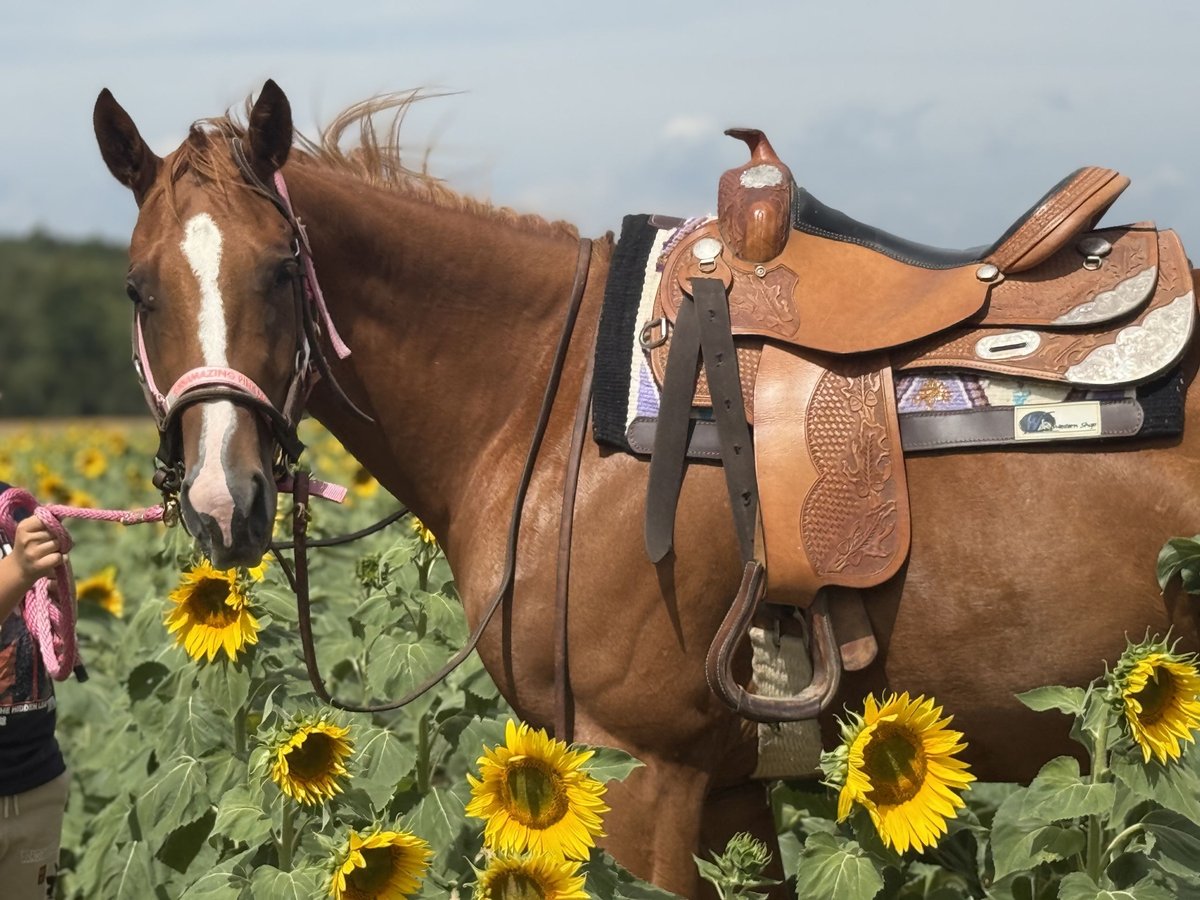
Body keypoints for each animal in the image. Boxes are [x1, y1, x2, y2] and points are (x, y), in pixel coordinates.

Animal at [92, 81, 1200, 898]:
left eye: (284, 270)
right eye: (137, 289)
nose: (223, 498)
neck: (547, 400)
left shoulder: (636, 771)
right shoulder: (729, 790)